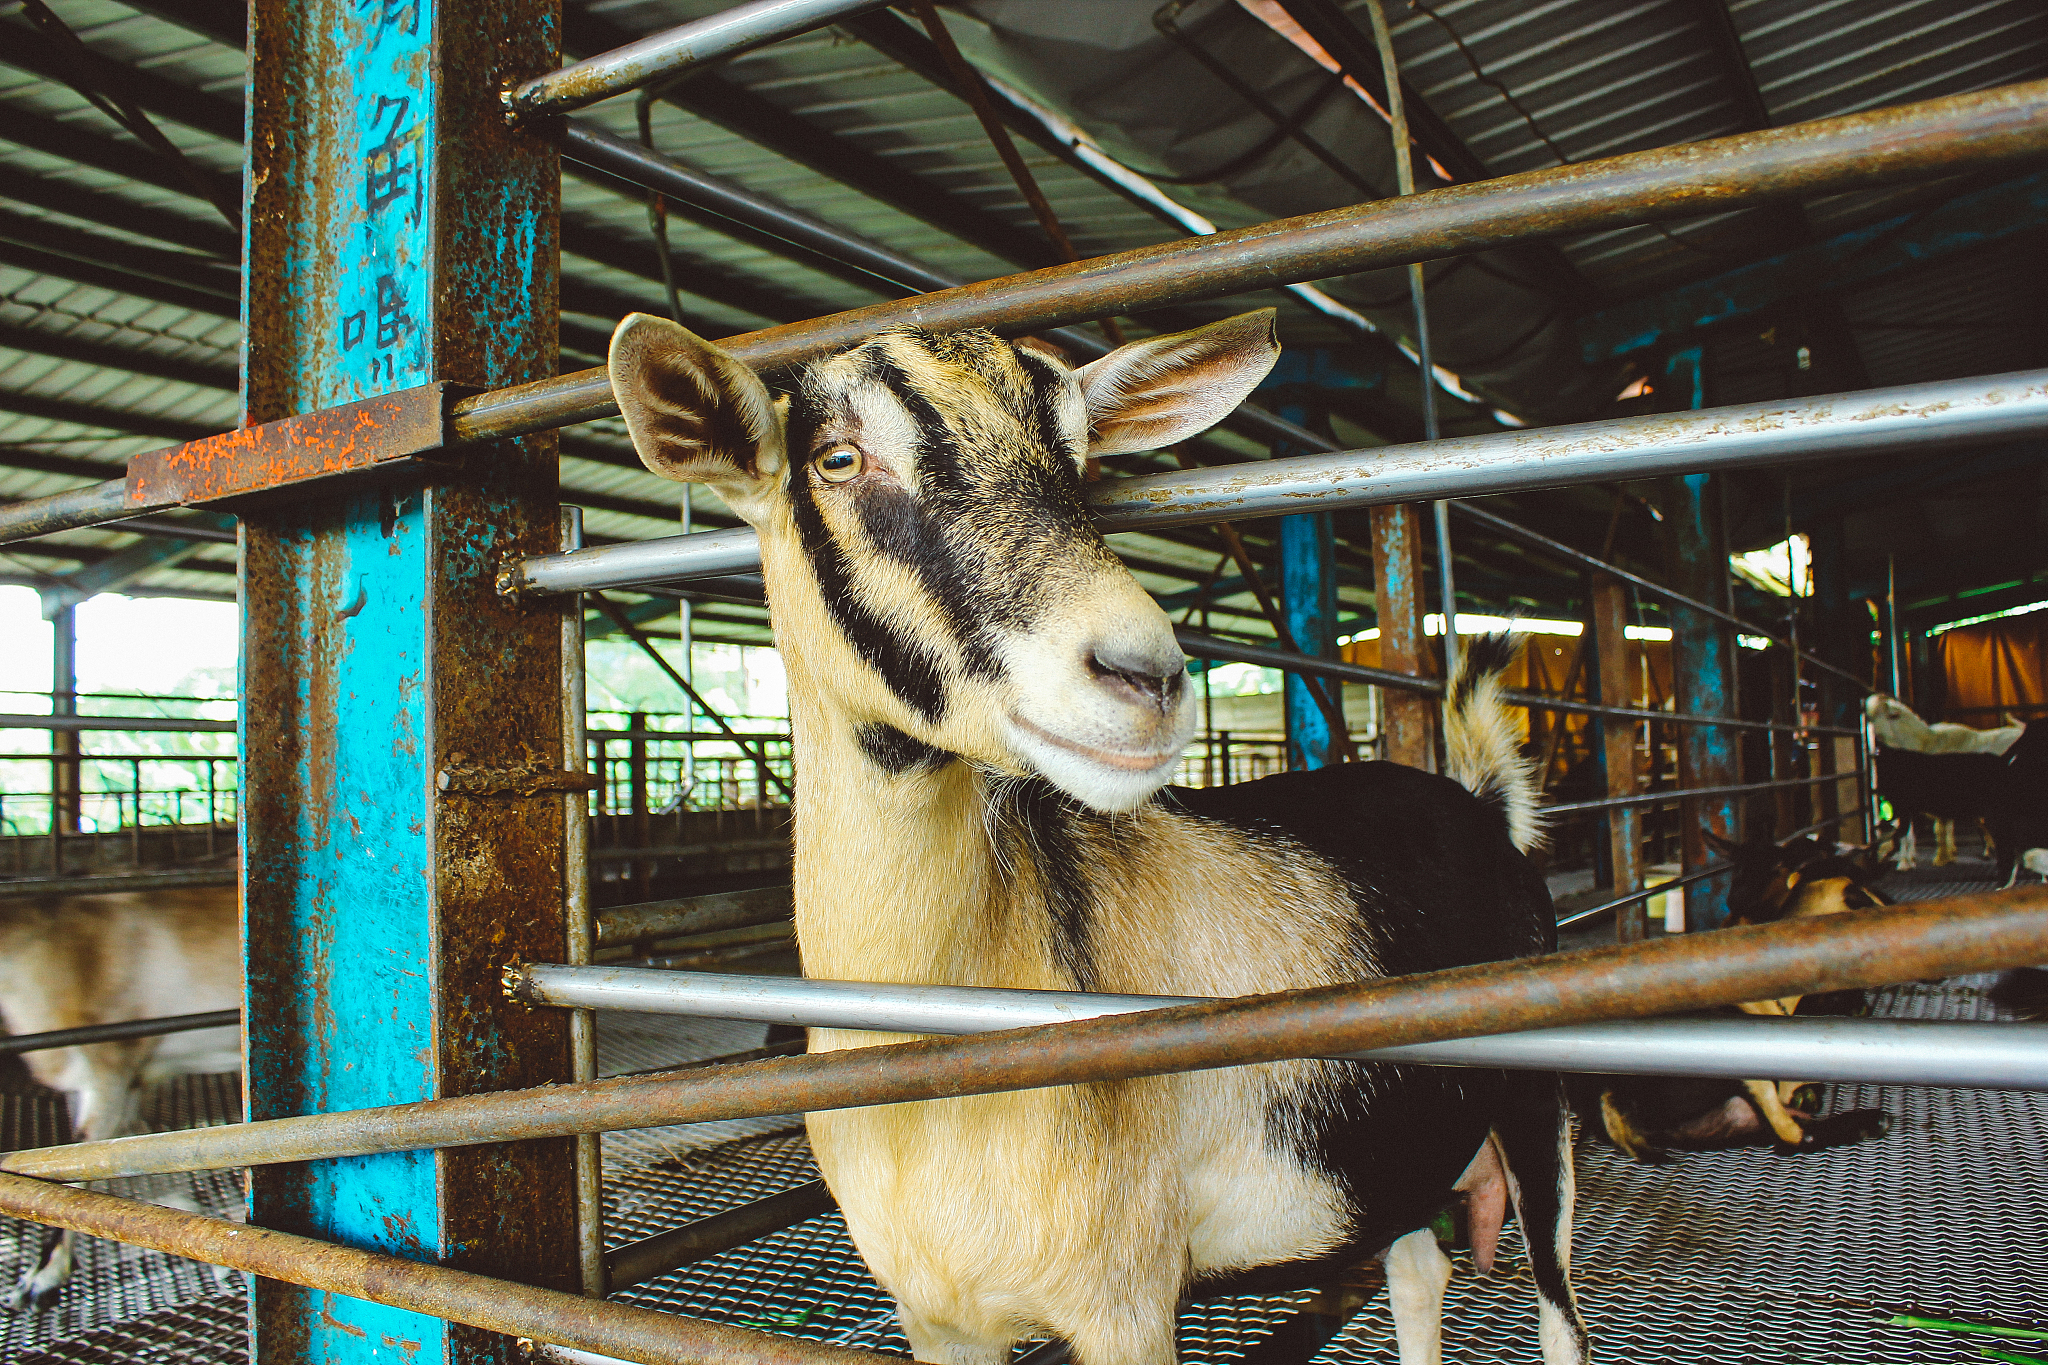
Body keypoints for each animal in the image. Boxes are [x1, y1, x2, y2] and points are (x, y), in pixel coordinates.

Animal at [606, 309, 1581, 1365]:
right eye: (836, 457)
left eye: (1078, 458)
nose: (1144, 674)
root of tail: (1482, 805)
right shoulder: (934, 1316)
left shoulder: (1128, 1298)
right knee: (1417, 1272)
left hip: (1542, 1099)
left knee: (1557, 1310)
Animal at [1867, 695, 2023, 863]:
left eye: (1877, 714)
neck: (1925, 742)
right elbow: (1947, 827)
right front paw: (1950, 854)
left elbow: (1941, 828)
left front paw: (1941, 858)